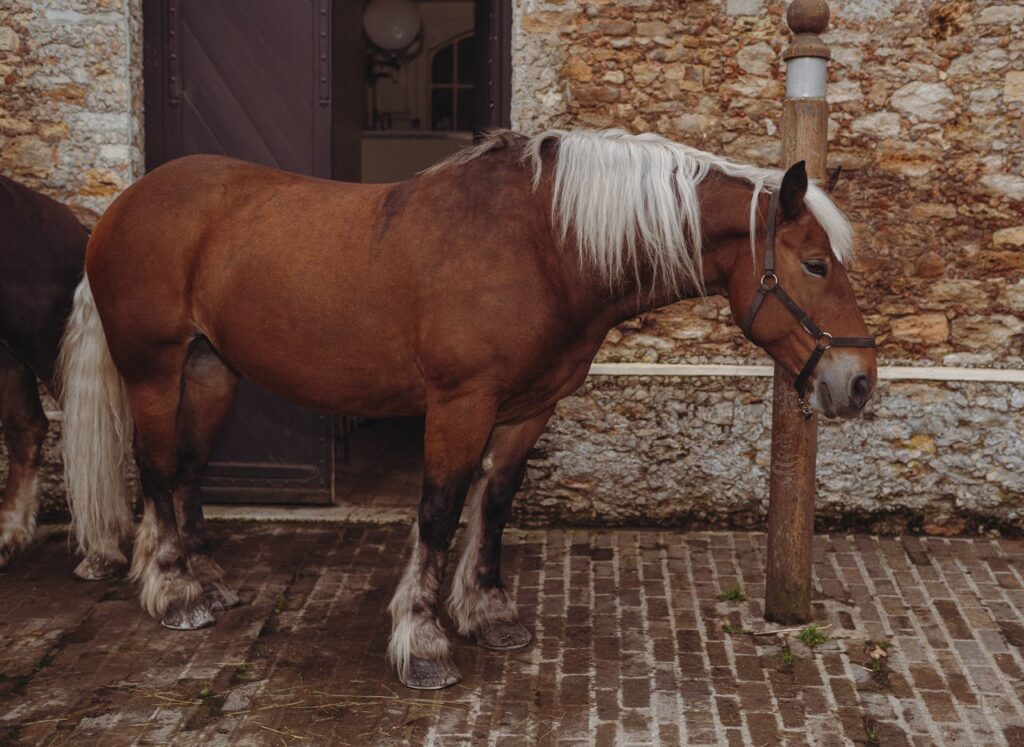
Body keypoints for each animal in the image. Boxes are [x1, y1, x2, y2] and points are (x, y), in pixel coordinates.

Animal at [57, 128, 876, 690]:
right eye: (814, 264)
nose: (860, 381)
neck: (544, 245)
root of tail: (123, 206)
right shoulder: (459, 403)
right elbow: (440, 510)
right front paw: (422, 641)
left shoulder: (527, 408)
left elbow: (495, 502)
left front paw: (488, 613)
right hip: (153, 367)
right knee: (157, 465)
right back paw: (174, 591)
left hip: (211, 369)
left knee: (189, 468)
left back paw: (207, 579)